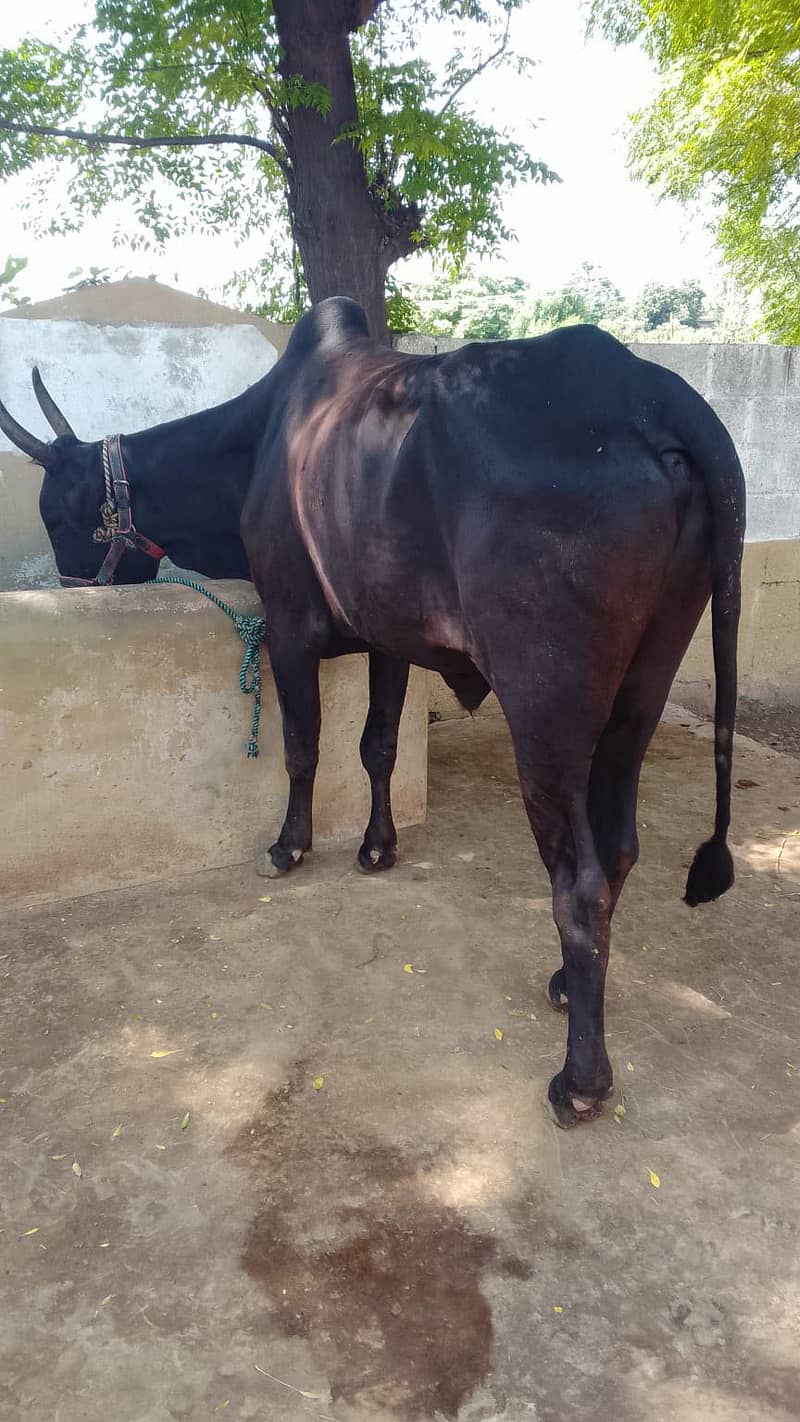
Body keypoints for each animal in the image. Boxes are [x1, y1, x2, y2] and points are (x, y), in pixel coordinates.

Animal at [0, 298, 746, 1127]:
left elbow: (303, 744)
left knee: (577, 884)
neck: (257, 442)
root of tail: (653, 392)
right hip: (638, 697)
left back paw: (580, 1078)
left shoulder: (289, 628)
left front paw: (289, 846)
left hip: (547, 711)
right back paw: (563, 983)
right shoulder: (390, 640)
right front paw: (377, 846)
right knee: (617, 849)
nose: (71, 589)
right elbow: (378, 745)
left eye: (63, 515)